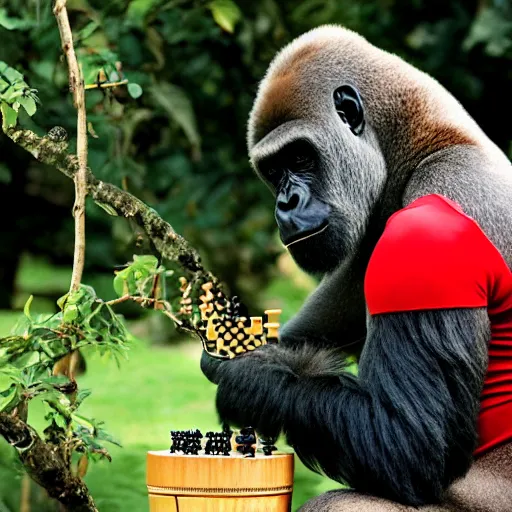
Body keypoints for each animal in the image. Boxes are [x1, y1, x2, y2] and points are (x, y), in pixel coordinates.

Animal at [200, 25, 512, 512]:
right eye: (273, 170)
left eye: (300, 158)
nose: (285, 204)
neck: (428, 141)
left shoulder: (426, 223)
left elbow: (408, 443)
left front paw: (248, 375)